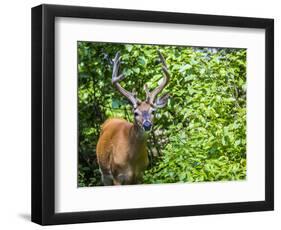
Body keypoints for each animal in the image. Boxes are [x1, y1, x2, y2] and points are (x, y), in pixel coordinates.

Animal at [95, 50, 170, 185]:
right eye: (135, 113)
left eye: (153, 111)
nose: (147, 125)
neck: (132, 160)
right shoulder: (117, 176)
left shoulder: (140, 176)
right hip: (104, 172)